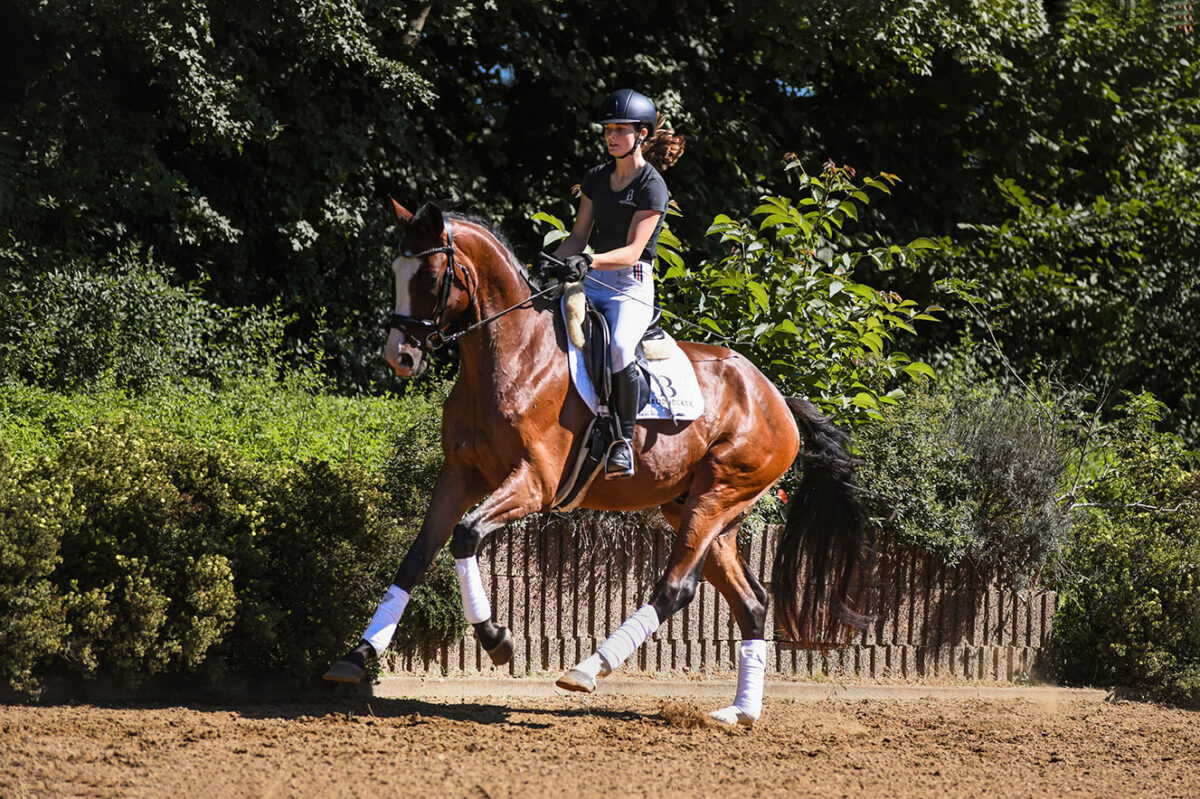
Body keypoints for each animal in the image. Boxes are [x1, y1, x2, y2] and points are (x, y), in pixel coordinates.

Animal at [324, 199, 873, 719]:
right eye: (395, 270)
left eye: (433, 276)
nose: (400, 356)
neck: (513, 355)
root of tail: (777, 397)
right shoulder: (460, 475)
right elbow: (418, 553)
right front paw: (357, 655)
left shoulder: (535, 482)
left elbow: (465, 535)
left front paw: (496, 639)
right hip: (702, 509)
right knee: (753, 604)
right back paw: (739, 713)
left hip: (718, 494)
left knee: (677, 587)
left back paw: (588, 669)